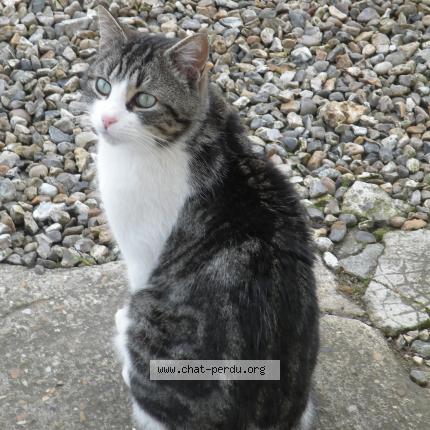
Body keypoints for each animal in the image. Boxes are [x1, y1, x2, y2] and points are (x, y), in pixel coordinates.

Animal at [84, 6, 320, 430]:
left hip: (153, 318)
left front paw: (121, 326)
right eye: (102, 85)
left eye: (144, 100)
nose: (107, 120)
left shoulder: (143, 252)